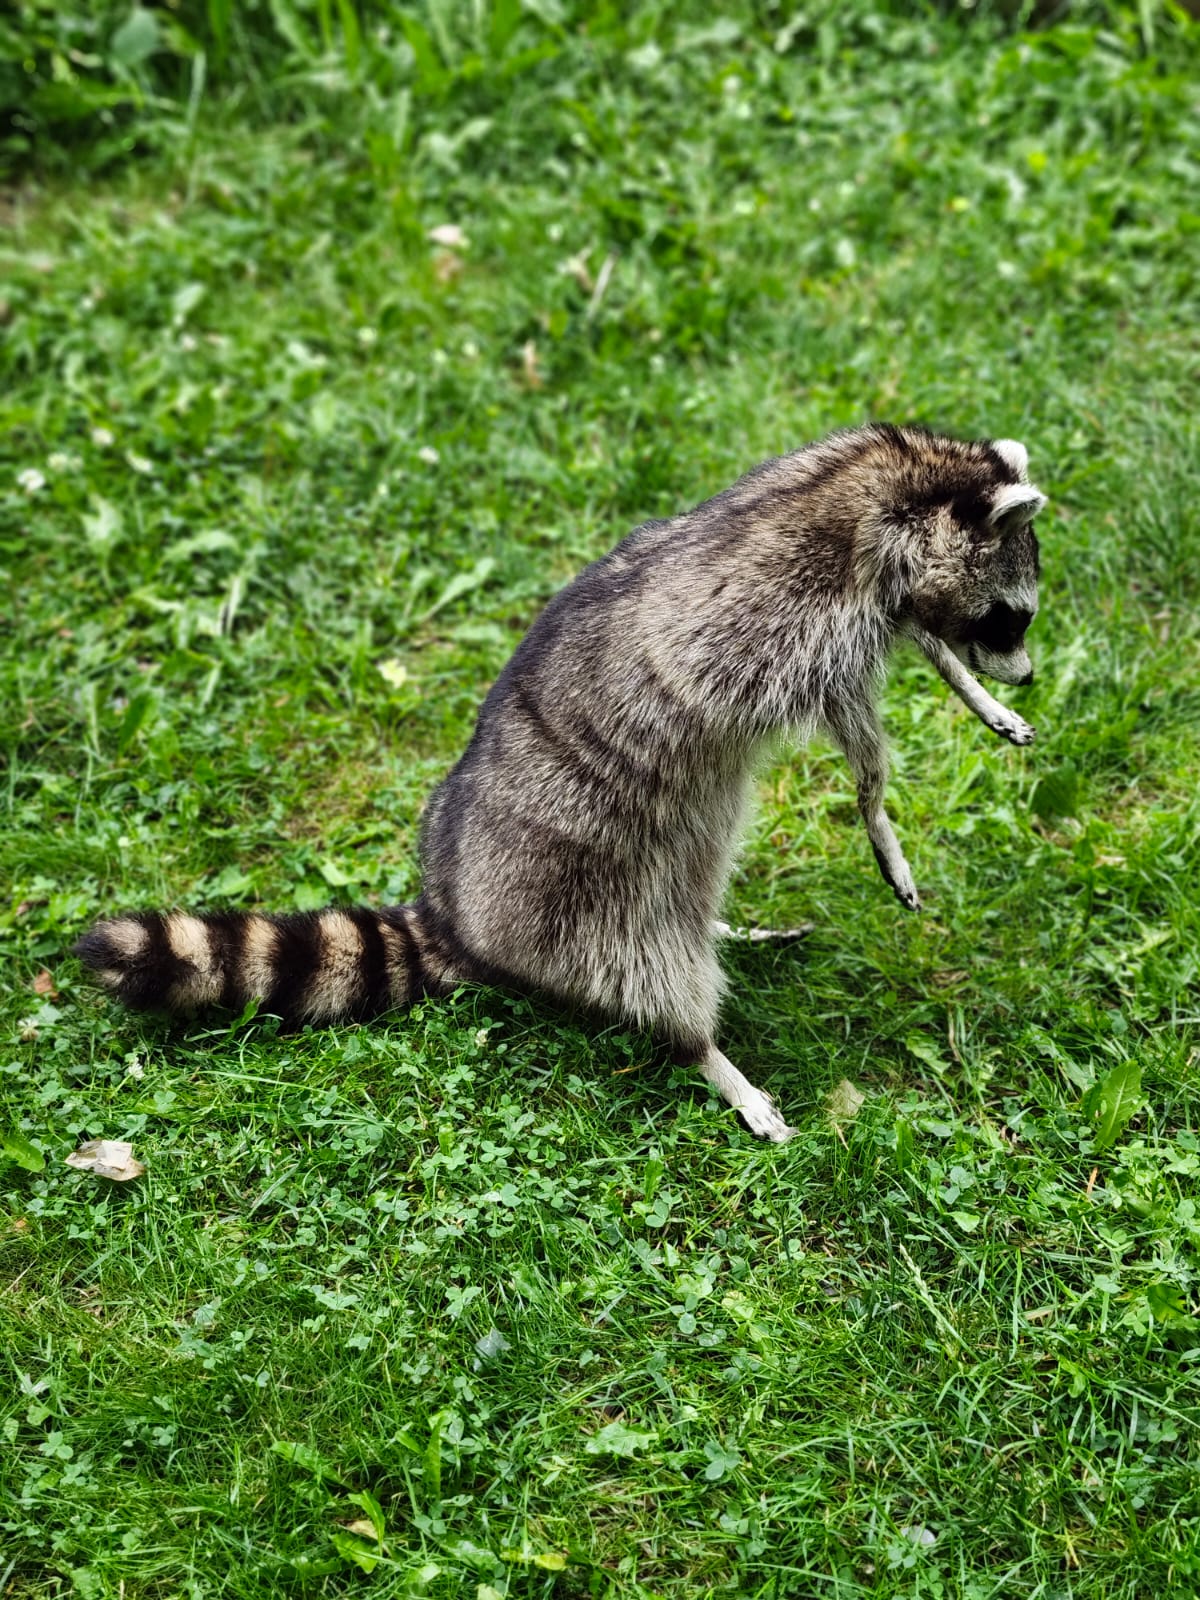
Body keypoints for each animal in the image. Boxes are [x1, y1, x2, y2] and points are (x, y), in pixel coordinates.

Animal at [77, 423, 1045, 1143]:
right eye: (1015, 616)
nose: (1029, 673)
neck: (897, 481)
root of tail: (455, 914)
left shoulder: (861, 605)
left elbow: (905, 655)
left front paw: (972, 695)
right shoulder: (800, 618)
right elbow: (856, 726)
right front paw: (880, 808)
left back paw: (720, 926)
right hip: (579, 898)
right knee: (655, 973)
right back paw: (706, 1052)